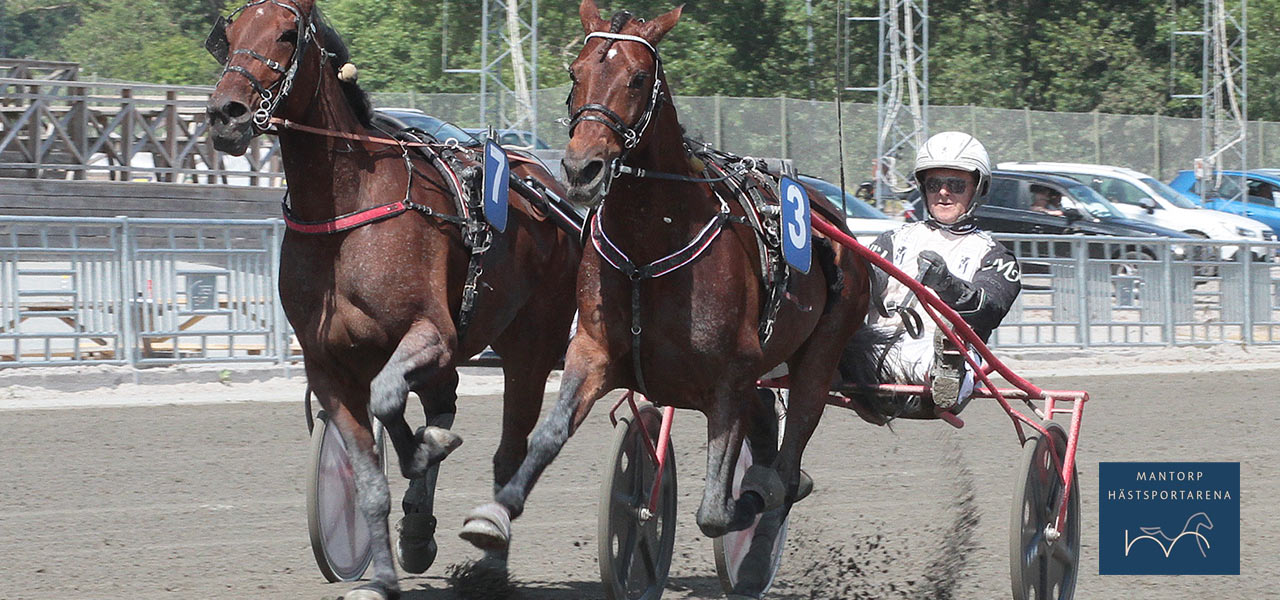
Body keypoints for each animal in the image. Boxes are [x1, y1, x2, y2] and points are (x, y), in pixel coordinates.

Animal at [203, 2, 581, 596]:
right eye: (230, 34)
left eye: (286, 34)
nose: (227, 113)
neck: (345, 211)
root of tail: (546, 182)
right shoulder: (329, 368)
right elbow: (369, 479)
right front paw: (380, 575)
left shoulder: (431, 333)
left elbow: (387, 401)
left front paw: (427, 450)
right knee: (443, 401)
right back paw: (421, 528)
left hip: (532, 345)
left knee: (510, 449)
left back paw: (490, 560)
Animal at [463, 2, 880, 596]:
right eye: (574, 71)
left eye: (638, 78)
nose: (582, 168)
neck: (652, 243)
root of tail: (834, 219)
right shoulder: (592, 351)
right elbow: (547, 436)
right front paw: (494, 515)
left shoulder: (730, 376)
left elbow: (715, 512)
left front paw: (741, 507)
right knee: (770, 438)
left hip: (820, 358)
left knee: (788, 458)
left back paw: (758, 545)